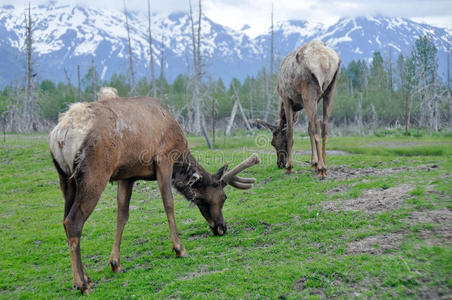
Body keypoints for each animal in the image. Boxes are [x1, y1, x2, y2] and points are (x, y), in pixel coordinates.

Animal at [48, 92, 262, 294]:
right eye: (224, 197)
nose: (222, 228)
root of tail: (60, 134)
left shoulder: (127, 175)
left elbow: (122, 215)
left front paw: (116, 263)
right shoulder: (164, 158)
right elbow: (169, 203)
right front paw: (179, 248)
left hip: (66, 179)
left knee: (65, 221)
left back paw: (87, 277)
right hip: (95, 173)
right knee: (73, 222)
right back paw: (82, 284)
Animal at [251, 40, 340, 176]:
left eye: (273, 142)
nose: (280, 164)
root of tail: (325, 61)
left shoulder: (286, 97)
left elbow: (290, 131)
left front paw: (290, 166)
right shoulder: (310, 101)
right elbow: (308, 129)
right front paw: (313, 163)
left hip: (309, 90)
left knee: (316, 124)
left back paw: (322, 169)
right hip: (330, 89)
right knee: (324, 124)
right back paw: (324, 164)